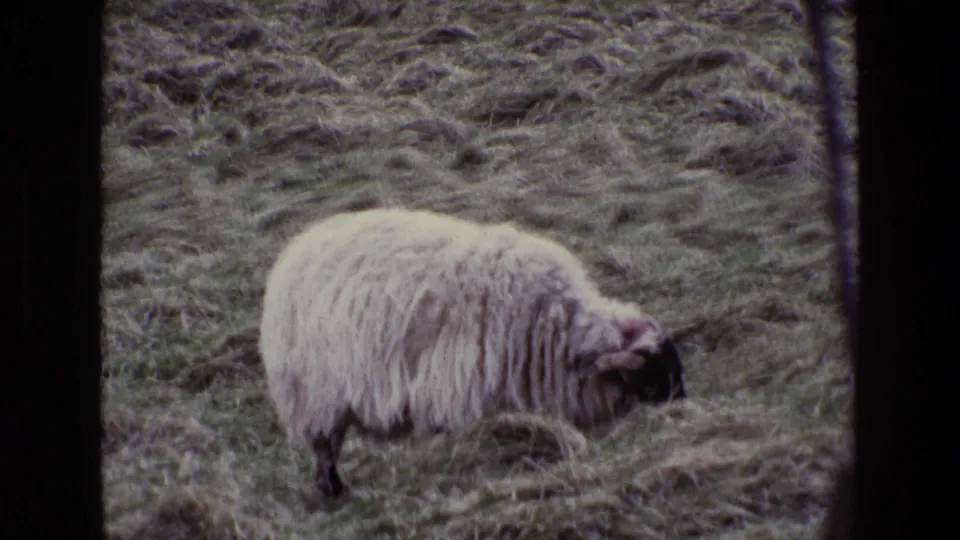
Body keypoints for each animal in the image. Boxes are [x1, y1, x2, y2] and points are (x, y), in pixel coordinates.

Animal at [258, 207, 687, 497]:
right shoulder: (453, 385)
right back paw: (332, 489)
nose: (685, 407)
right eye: (652, 377)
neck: (552, 326)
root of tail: (295, 250)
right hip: (316, 394)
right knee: (325, 447)